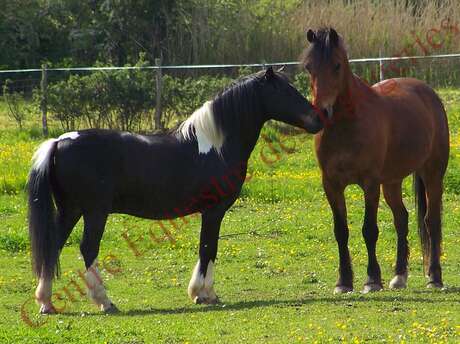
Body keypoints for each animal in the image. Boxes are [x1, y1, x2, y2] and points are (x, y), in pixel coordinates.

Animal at [28, 66, 324, 314]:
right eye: (285, 91)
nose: (318, 120)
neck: (215, 146)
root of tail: (59, 141)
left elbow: (208, 249)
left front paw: (203, 293)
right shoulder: (213, 211)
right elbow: (208, 248)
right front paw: (203, 294)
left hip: (70, 210)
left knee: (53, 246)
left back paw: (46, 303)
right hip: (94, 212)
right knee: (88, 249)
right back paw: (105, 301)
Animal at [302, 28, 450, 294]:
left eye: (337, 65)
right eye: (309, 67)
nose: (321, 113)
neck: (346, 125)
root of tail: (428, 93)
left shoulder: (370, 184)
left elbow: (369, 230)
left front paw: (371, 280)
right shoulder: (331, 185)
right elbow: (341, 231)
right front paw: (343, 282)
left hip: (432, 174)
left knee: (431, 221)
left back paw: (434, 277)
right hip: (391, 182)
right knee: (402, 219)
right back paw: (399, 276)